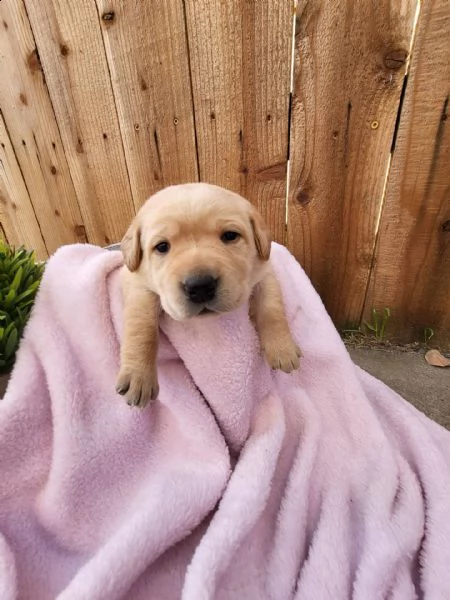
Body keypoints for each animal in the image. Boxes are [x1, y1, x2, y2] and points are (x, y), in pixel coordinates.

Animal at [116, 183, 300, 408]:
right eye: (162, 246)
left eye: (230, 236)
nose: (200, 287)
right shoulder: (136, 282)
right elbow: (141, 328)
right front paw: (138, 376)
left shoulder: (264, 273)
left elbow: (272, 309)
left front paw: (282, 349)